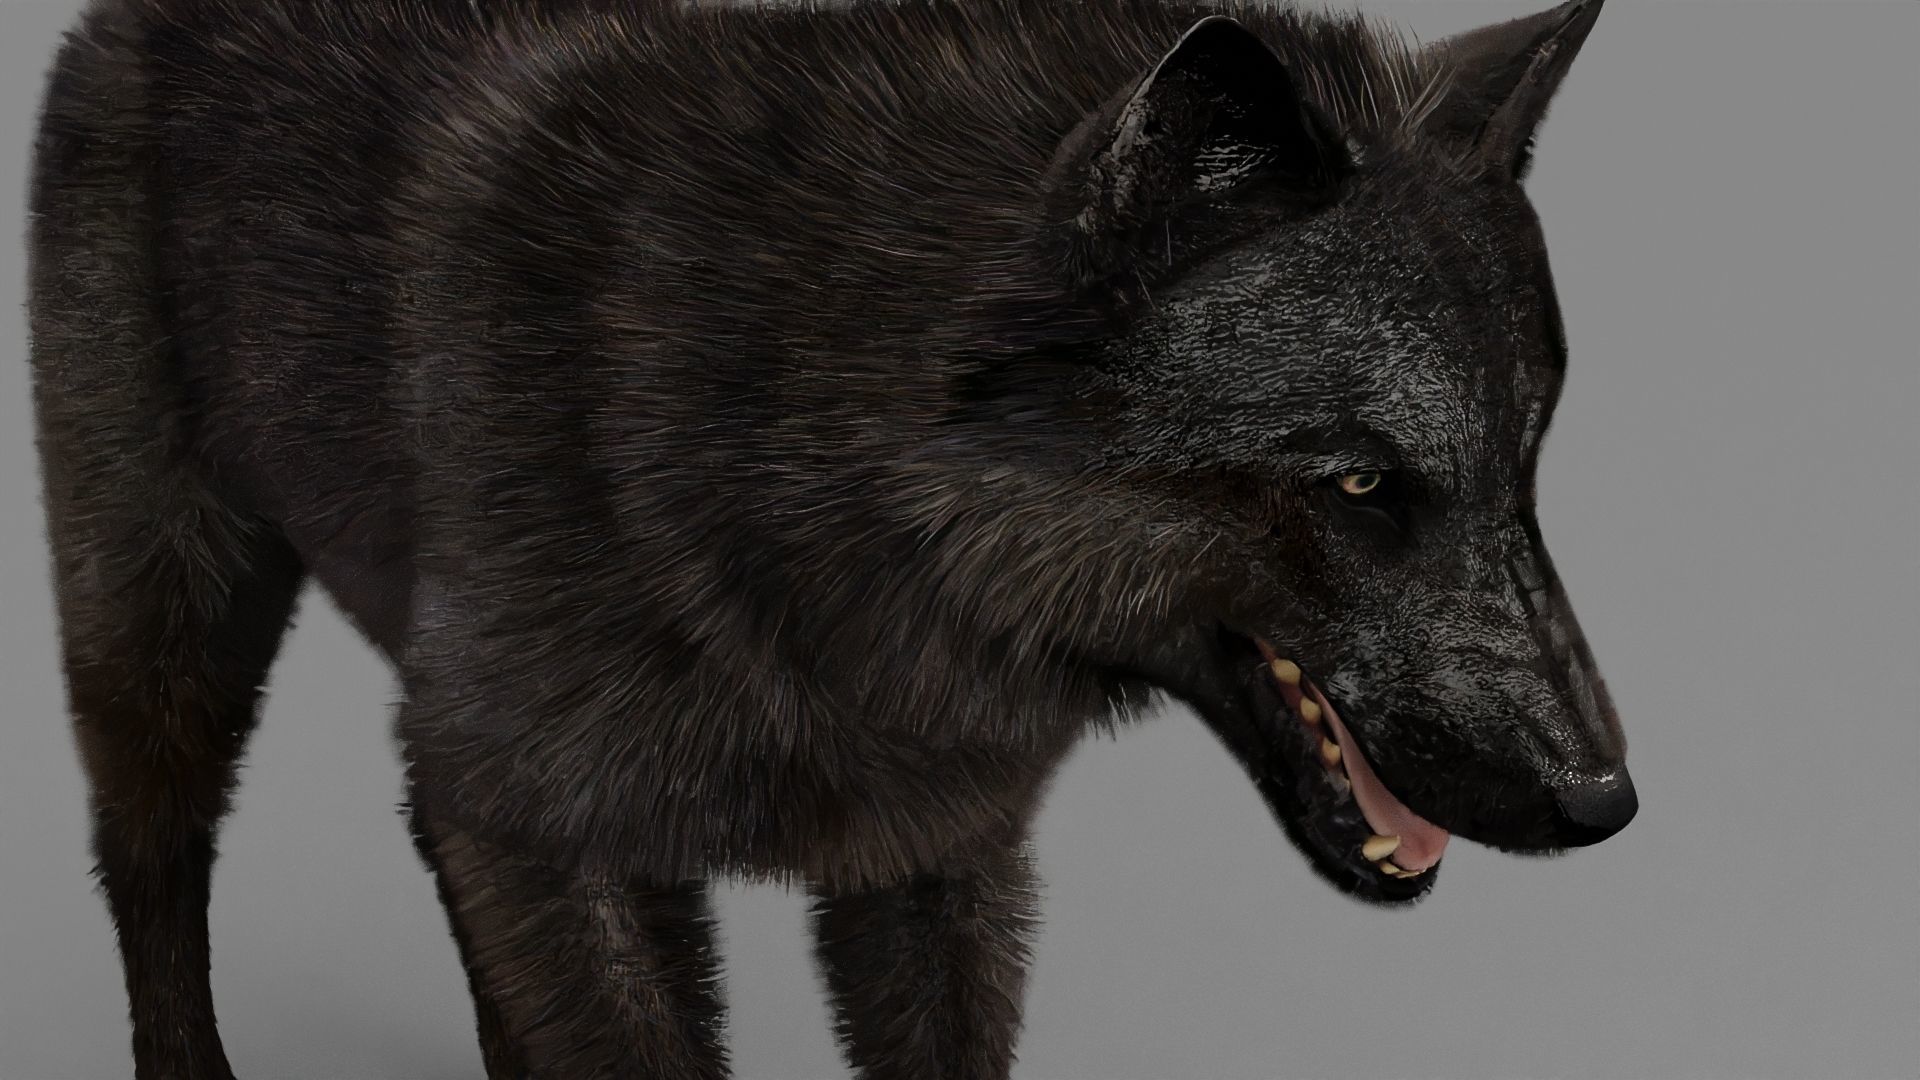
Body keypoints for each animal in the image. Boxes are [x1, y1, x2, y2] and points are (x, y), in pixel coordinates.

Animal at [26, 0, 1634, 1075]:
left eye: (1524, 467)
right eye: (1362, 484)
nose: (1607, 804)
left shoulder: (930, 861)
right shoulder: (550, 829)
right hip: (170, 622)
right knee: (148, 854)